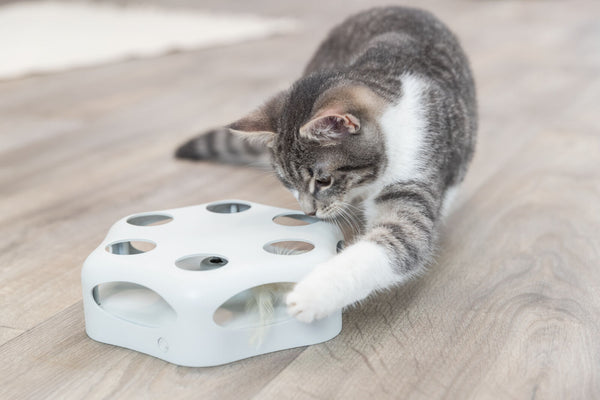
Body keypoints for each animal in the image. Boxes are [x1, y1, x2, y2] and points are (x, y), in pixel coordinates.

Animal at [176, 6, 476, 324]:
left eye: (323, 180)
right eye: (288, 183)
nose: (309, 211)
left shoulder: (418, 166)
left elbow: (398, 241)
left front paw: (311, 294)